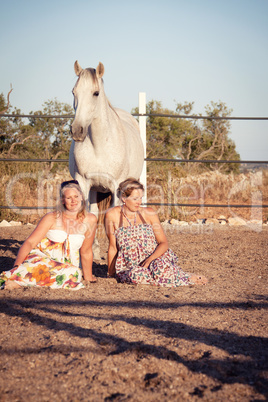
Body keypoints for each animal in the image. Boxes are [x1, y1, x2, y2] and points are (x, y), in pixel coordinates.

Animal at [69, 62, 144, 218]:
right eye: (74, 92)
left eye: (96, 93)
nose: (77, 130)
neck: (99, 147)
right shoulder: (84, 183)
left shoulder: (117, 186)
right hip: (94, 189)